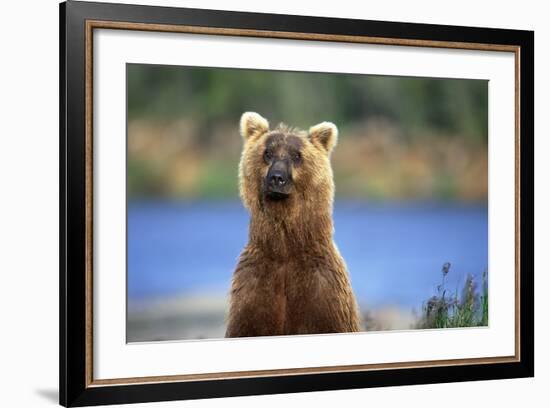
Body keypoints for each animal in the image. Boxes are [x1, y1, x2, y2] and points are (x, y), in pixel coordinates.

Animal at [226, 111, 364, 338]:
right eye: (267, 153)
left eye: (297, 155)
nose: (277, 178)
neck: (285, 249)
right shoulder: (253, 289)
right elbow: (247, 324)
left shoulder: (323, 292)